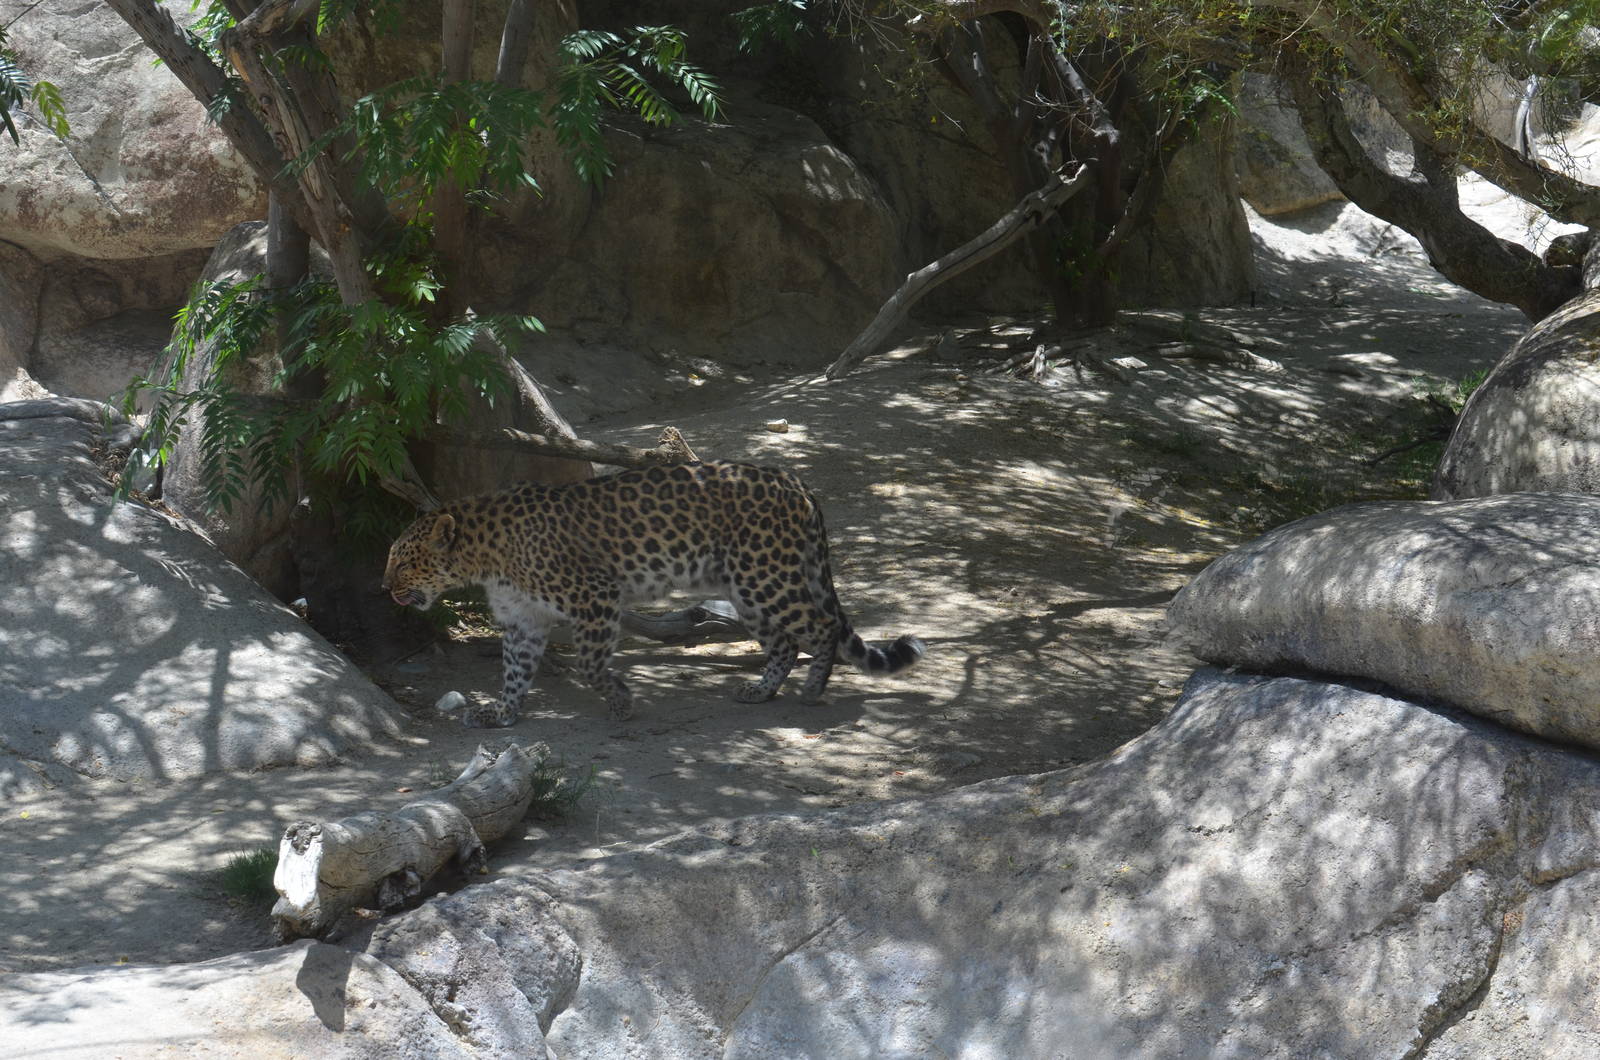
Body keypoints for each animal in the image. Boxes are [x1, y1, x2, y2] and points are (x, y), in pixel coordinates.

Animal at [382, 460, 925, 728]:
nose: (384, 587)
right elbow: (515, 670)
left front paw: (622, 703)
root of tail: (797, 482)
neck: (482, 555)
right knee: (785, 642)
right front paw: (502, 712)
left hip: (766, 575)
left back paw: (812, 691)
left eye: (405, 561)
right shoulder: (523, 620)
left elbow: (590, 665)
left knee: (822, 625)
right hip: (746, 587)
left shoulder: (595, 596)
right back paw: (760, 690)